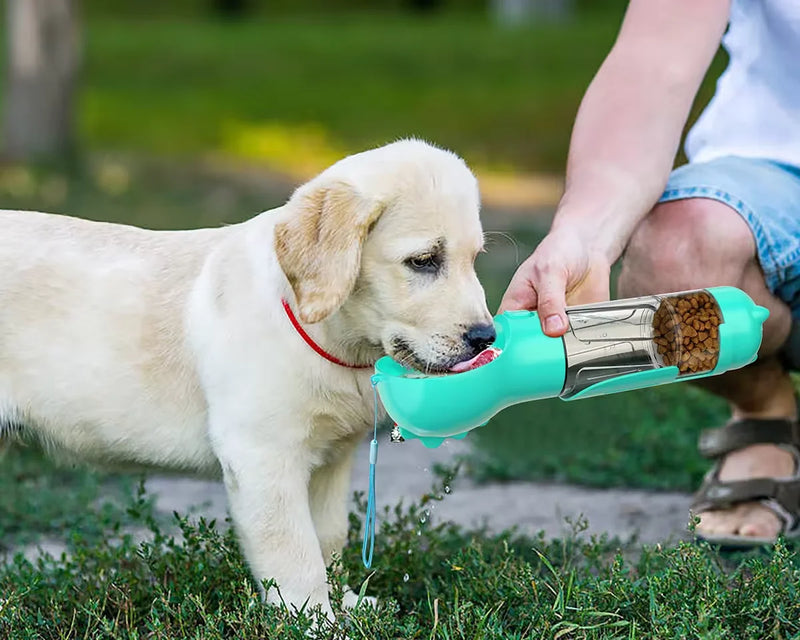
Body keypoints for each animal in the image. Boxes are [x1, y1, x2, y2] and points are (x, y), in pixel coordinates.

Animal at [0, 139, 494, 616]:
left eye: (475, 259)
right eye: (424, 261)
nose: (485, 337)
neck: (329, 337)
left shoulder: (331, 460)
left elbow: (329, 538)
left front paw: (347, 605)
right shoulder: (262, 456)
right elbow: (296, 555)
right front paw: (314, 620)